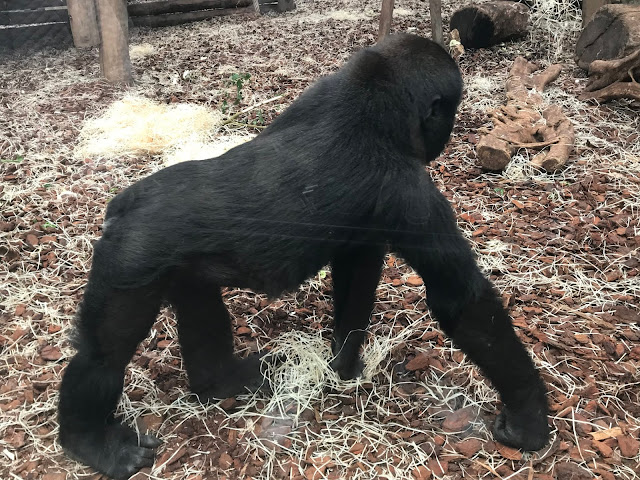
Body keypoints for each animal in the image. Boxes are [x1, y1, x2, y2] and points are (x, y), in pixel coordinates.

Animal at [58, 31, 552, 478]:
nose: (446, 133)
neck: (370, 105)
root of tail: (121, 207)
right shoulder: (409, 192)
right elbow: (461, 302)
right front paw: (529, 418)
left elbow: (355, 280)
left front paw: (343, 366)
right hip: (130, 261)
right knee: (103, 354)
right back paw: (92, 443)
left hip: (176, 265)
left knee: (196, 300)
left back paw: (220, 381)